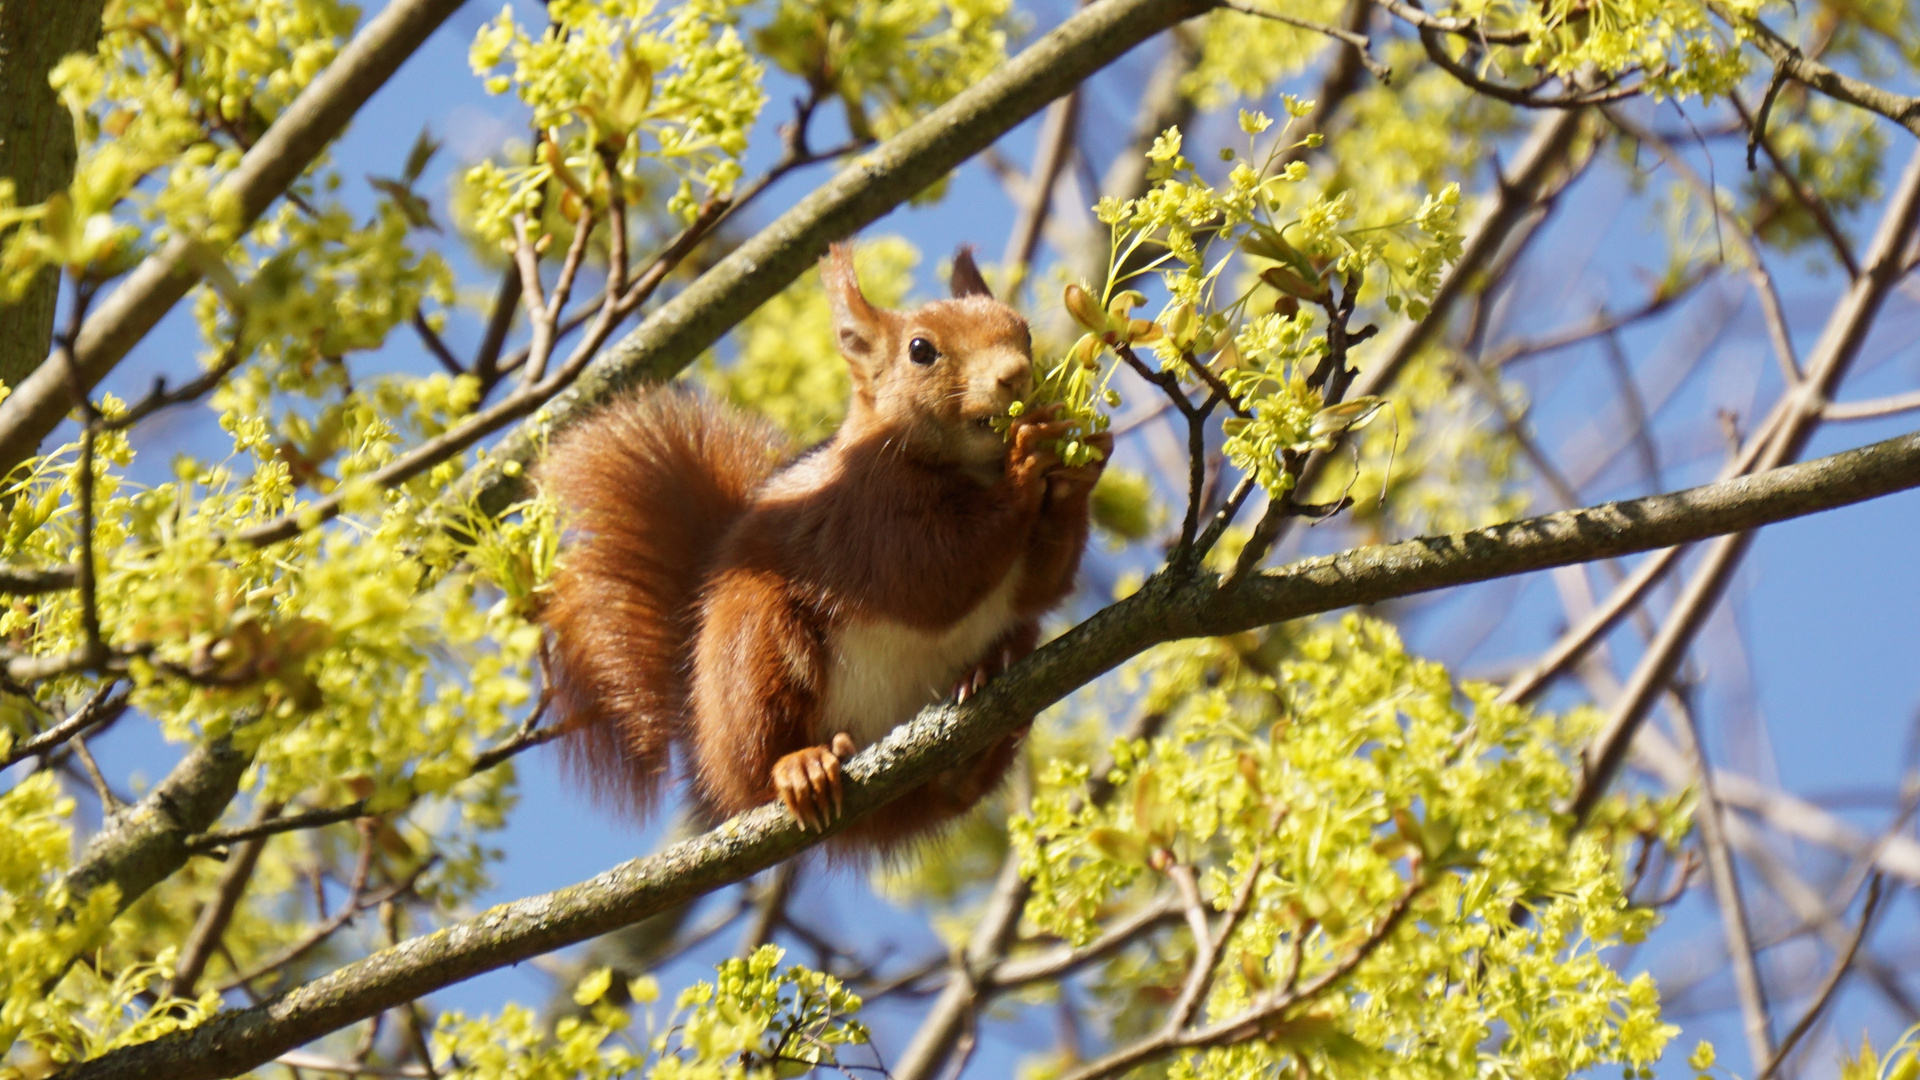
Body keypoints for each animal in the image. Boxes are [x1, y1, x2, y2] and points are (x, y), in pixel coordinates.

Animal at [541, 242, 1113, 841]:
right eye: (920, 350)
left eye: (1023, 333)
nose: (1016, 374)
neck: (971, 469)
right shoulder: (866, 515)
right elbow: (932, 576)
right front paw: (1029, 458)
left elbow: (1041, 586)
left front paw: (1081, 468)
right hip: (754, 646)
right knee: (757, 766)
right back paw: (801, 766)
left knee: (953, 786)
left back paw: (982, 696)